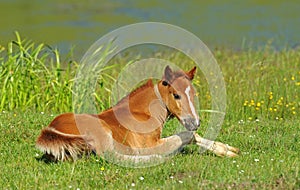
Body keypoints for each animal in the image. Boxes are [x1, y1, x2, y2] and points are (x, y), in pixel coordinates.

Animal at [36, 65, 239, 163]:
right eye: (176, 95)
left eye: (194, 94)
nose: (194, 122)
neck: (142, 113)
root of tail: (50, 130)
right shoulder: (152, 143)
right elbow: (187, 136)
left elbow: (192, 136)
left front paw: (227, 150)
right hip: (103, 134)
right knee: (110, 156)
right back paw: (153, 158)